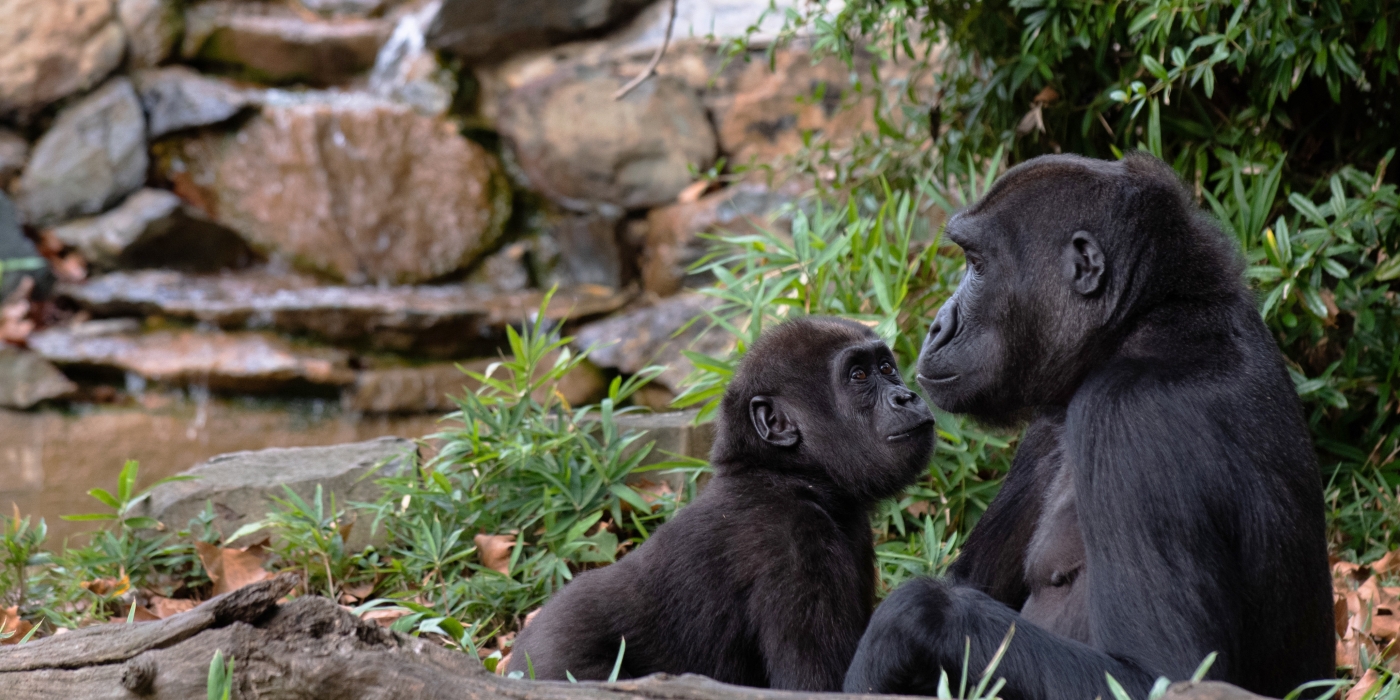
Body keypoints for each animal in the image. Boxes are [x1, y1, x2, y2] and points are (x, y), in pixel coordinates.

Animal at [509, 317, 935, 688]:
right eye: (859, 377)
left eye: (886, 368)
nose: (906, 396)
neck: (785, 474)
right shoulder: (796, 542)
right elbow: (819, 684)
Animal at [840, 154, 1332, 700]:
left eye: (978, 265)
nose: (937, 324)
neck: (1135, 326)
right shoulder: (1052, 421)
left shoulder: (1129, 417)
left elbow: (1164, 673)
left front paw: (904, 621)